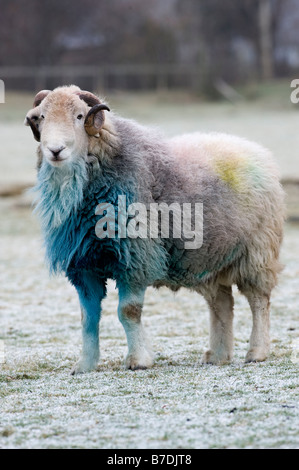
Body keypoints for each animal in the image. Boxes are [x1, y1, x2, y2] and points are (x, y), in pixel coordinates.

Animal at [25, 85, 286, 374]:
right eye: (42, 117)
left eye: (80, 116)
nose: (55, 150)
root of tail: (256, 150)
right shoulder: (83, 266)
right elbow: (87, 318)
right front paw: (85, 365)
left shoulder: (135, 260)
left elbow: (128, 312)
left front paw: (138, 360)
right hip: (208, 259)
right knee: (221, 304)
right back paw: (218, 355)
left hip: (257, 252)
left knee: (258, 300)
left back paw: (257, 352)